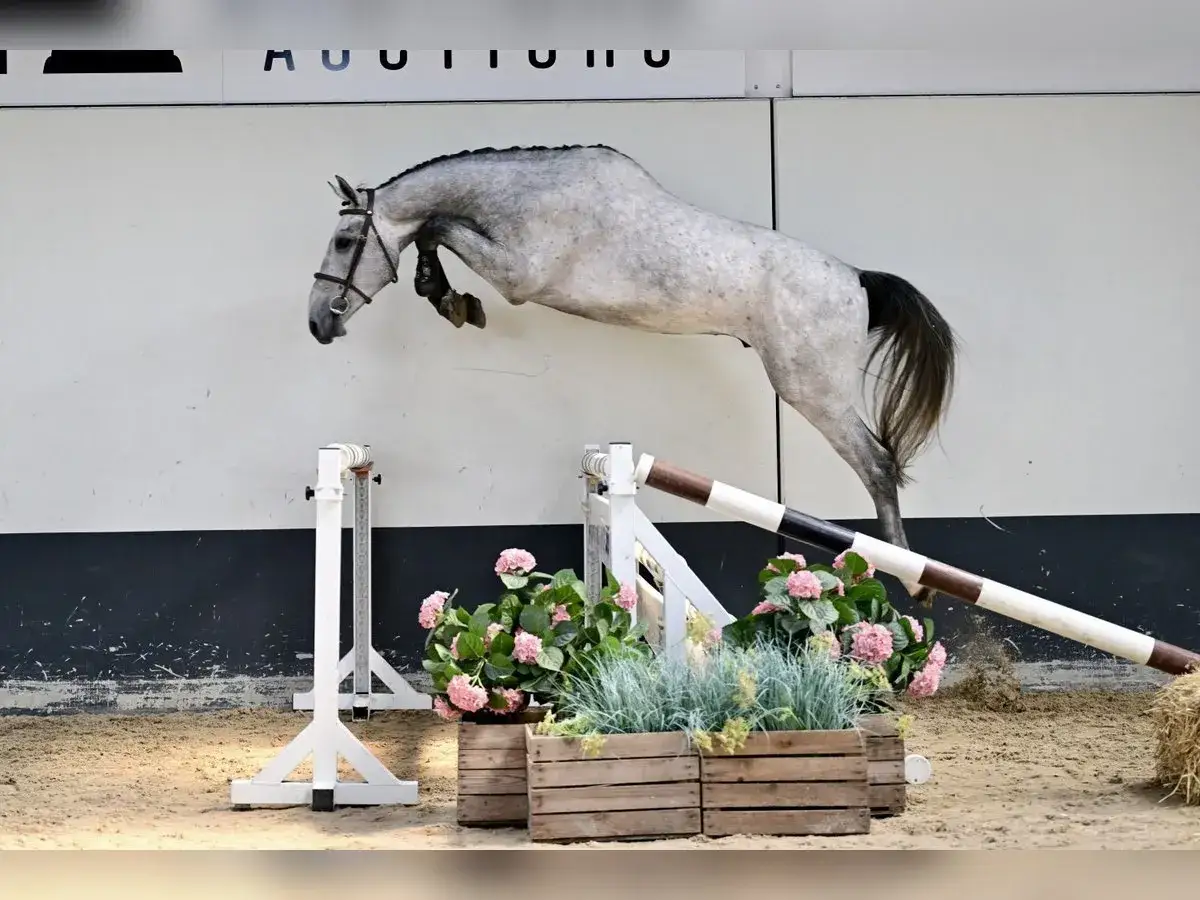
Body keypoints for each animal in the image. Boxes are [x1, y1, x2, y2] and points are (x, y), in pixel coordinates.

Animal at [306, 144, 958, 605]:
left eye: (343, 239)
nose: (318, 323)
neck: (525, 197)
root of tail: (856, 280)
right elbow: (432, 229)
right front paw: (447, 296)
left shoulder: (518, 275)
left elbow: (437, 224)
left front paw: (448, 297)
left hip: (810, 388)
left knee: (878, 464)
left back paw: (914, 580)